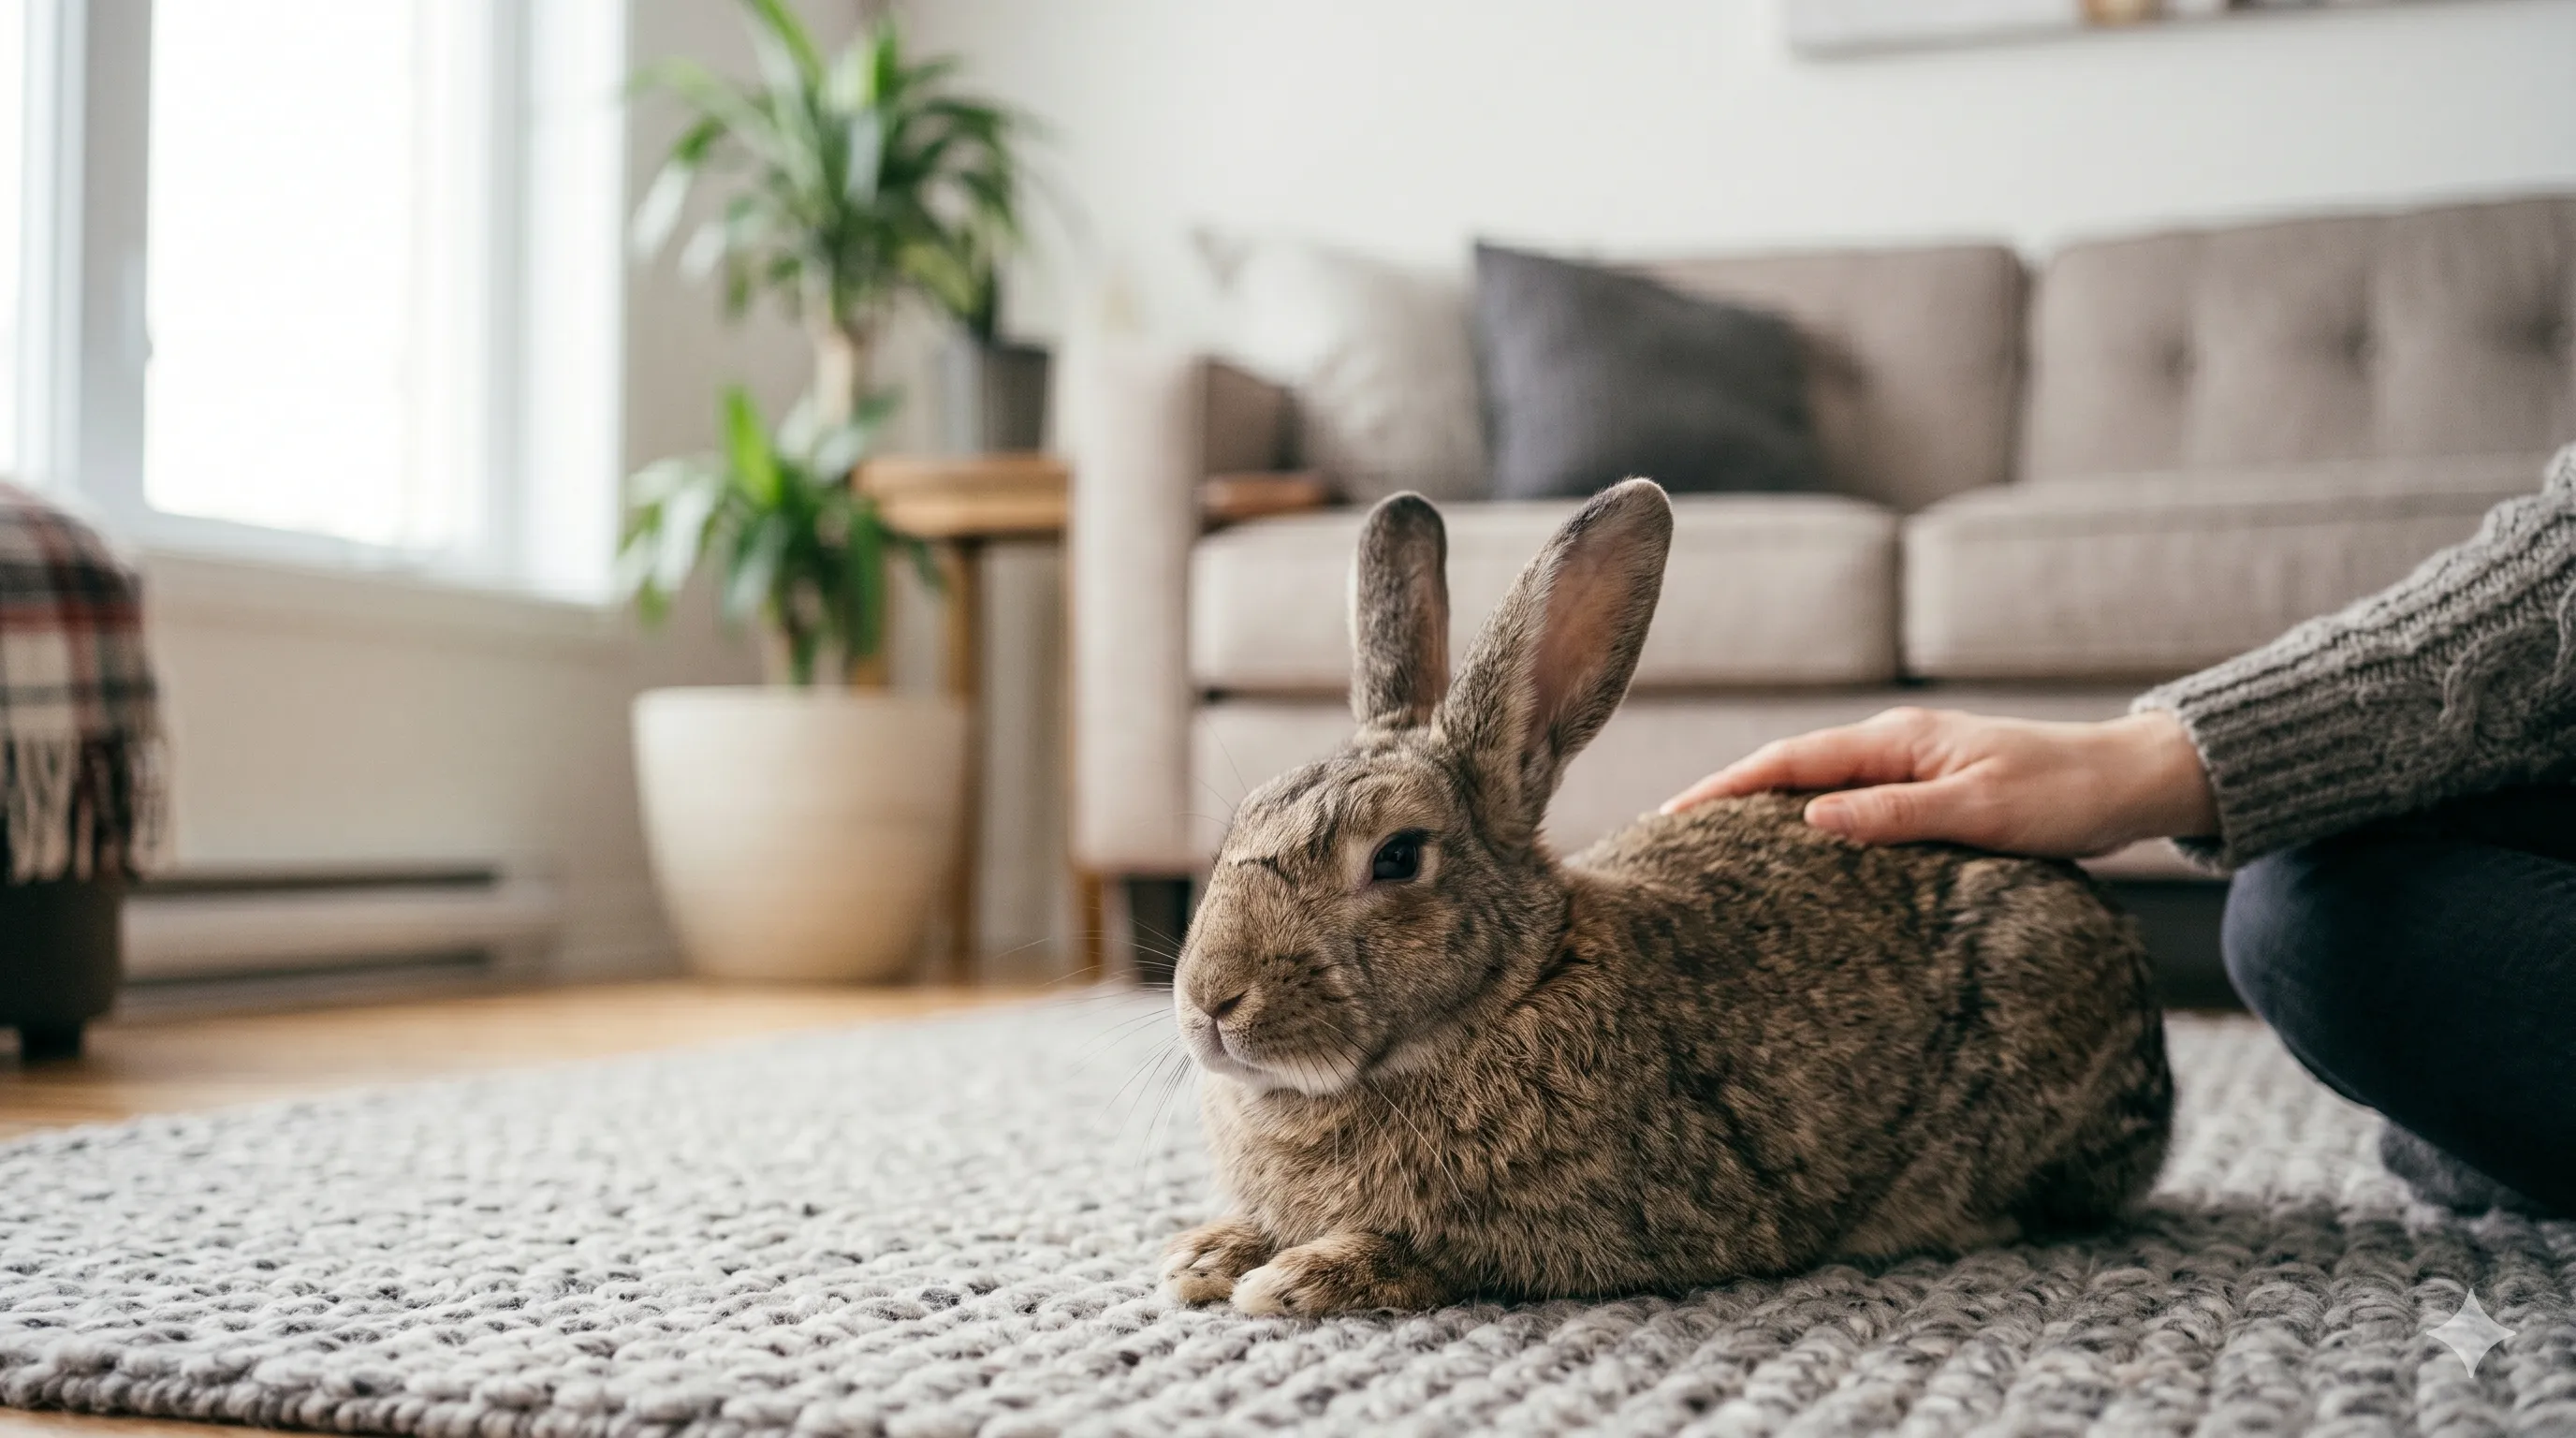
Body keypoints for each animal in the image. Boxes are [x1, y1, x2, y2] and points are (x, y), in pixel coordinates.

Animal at [1160, 479, 2173, 1317]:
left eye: (1398, 858)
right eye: (1243, 821)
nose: (1210, 1002)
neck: (1516, 989)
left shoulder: (1589, 1228)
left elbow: (1444, 1254)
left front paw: (1296, 1278)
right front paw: (1205, 1254)